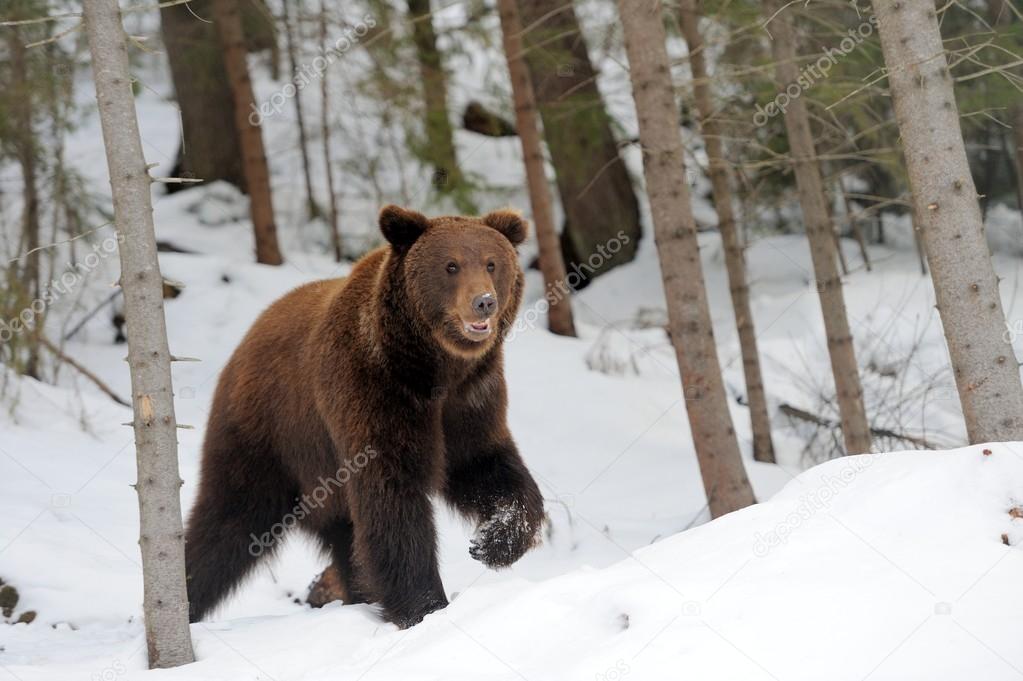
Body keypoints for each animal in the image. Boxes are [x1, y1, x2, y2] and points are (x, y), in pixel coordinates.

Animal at [187, 205, 548, 625]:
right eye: (451, 265)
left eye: (492, 262)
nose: (484, 302)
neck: (432, 369)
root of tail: (245, 340)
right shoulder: (373, 392)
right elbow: (393, 501)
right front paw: (424, 605)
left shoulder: (470, 401)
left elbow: (489, 468)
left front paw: (491, 541)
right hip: (267, 436)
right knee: (227, 522)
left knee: (342, 539)